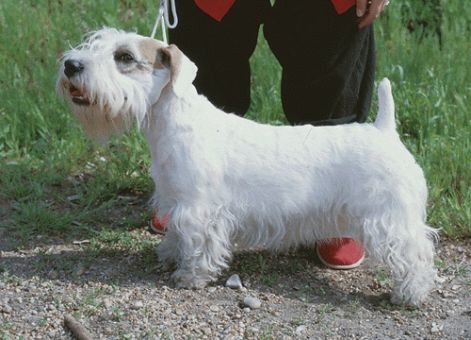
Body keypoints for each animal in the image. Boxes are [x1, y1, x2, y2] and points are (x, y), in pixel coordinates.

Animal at [59, 28, 438, 306]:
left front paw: (189, 276)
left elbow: (198, 243)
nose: (70, 66)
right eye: (96, 41)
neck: (171, 121)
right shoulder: (174, 199)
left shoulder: (199, 209)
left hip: (391, 220)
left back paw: (410, 295)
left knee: (415, 254)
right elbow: (175, 233)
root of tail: (384, 129)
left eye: (125, 57)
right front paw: (169, 254)